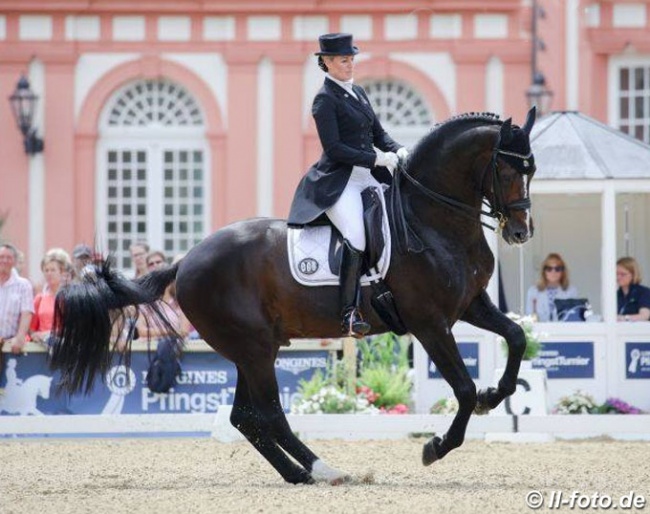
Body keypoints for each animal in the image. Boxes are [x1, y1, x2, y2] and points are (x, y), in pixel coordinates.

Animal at [49, 106, 536, 482]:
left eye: (532, 169)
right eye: (506, 168)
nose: (520, 232)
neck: (431, 219)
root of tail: (185, 261)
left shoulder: (470, 305)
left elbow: (515, 338)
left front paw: (499, 394)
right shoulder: (428, 322)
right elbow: (464, 388)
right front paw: (437, 445)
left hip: (252, 349)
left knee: (245, 417)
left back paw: (299, 474)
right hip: (253, 348)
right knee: (269, 416)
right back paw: (324, 470)